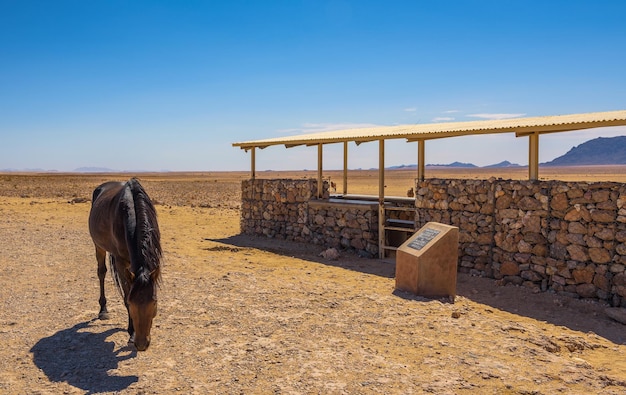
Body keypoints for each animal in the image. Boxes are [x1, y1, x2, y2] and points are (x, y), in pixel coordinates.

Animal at [89, 178, 163, 352]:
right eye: (131, 302)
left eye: (154, 302)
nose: (141, 344)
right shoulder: (121, 261)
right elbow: (126, 293)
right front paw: (132, 333)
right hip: (99, 246)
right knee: (101, 272)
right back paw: (103, 310)